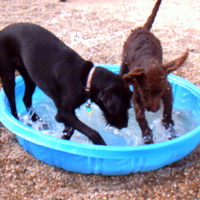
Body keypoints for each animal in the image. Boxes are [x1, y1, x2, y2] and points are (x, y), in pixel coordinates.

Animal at [0, 22, 131, 145]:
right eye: (123, 106)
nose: (124, 125)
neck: (84, 79)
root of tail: (3, 30)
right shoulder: (63, 113)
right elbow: (92, 132)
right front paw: (101, 145)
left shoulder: (67, 113)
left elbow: (70, 130)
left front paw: (63, 140)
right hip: (8, 77)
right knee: (13, 105)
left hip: (29, 77)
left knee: (26, 99)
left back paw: (38, 121)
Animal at [120, 0, 189, 145]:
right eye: (146, 92)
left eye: (160, 91)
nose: (154, 110)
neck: (149, 62)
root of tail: (143, 29)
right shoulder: (137, 94)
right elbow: (140, 116)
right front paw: (147, 136)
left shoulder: (167, 89)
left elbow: (167, 110)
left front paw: (169, 129)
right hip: (124, 61)